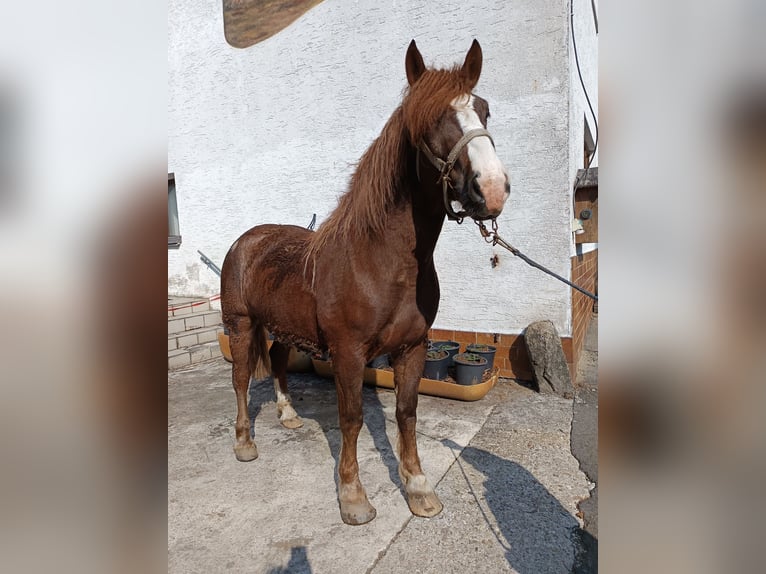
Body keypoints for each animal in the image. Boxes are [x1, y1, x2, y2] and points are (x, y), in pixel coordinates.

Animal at [220, 39, 509, 525]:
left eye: (485, 111)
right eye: (428, 120)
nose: (491, 190)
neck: (382, 262)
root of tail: (248, 240)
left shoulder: (413, 347)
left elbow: (407, 413)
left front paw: (418, 489)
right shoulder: (349, 353)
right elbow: (352, 418)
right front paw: (353, 496)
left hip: (283, 328)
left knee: (277, 363)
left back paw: (288, 415)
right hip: (241, 325)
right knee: (242, 379)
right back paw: (244, 443)